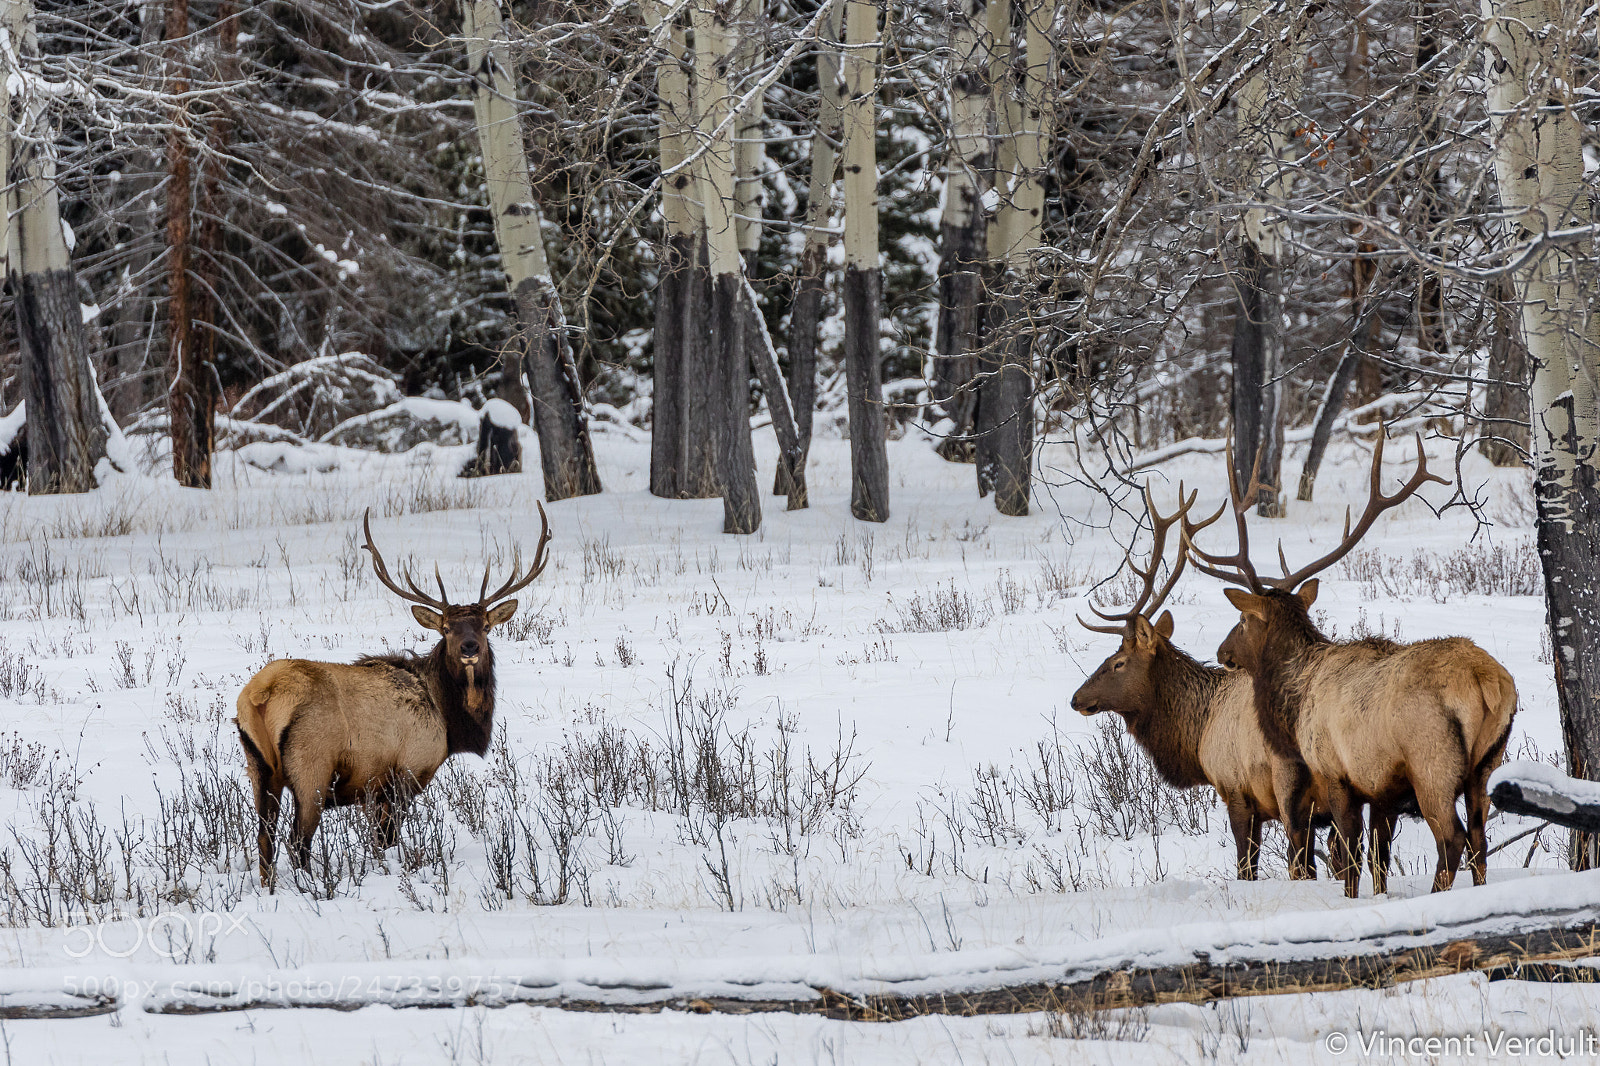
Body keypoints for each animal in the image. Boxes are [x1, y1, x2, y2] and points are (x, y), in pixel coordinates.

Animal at [235, 505, 551, 888]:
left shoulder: (373, 786)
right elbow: (387, 842)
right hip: (311, 768)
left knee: (264, 839)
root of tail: (260, 696)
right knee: (297, 842)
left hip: (259, 767)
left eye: (485, 626)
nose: (470, 648)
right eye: (446, 628)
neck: (448, 722)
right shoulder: (405, 772)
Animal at [1071, 484, 1322, 880]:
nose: (1076, 699)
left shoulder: (1236, 790)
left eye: (1118, 663)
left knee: (1305, 867)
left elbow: (1246, 867)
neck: (1198, 731)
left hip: (1292, 790)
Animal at [1182, 435, 1517, 898]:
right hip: (1486, 767)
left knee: (1452, 839)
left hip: (1432, 762)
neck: (1294, 706)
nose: (1222, 651)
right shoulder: (1381, 791)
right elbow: (1378, 860)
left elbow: (1351, 859)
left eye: (1244, 619)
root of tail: (1487, 682)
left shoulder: (1335, 772)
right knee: (1481, 842)